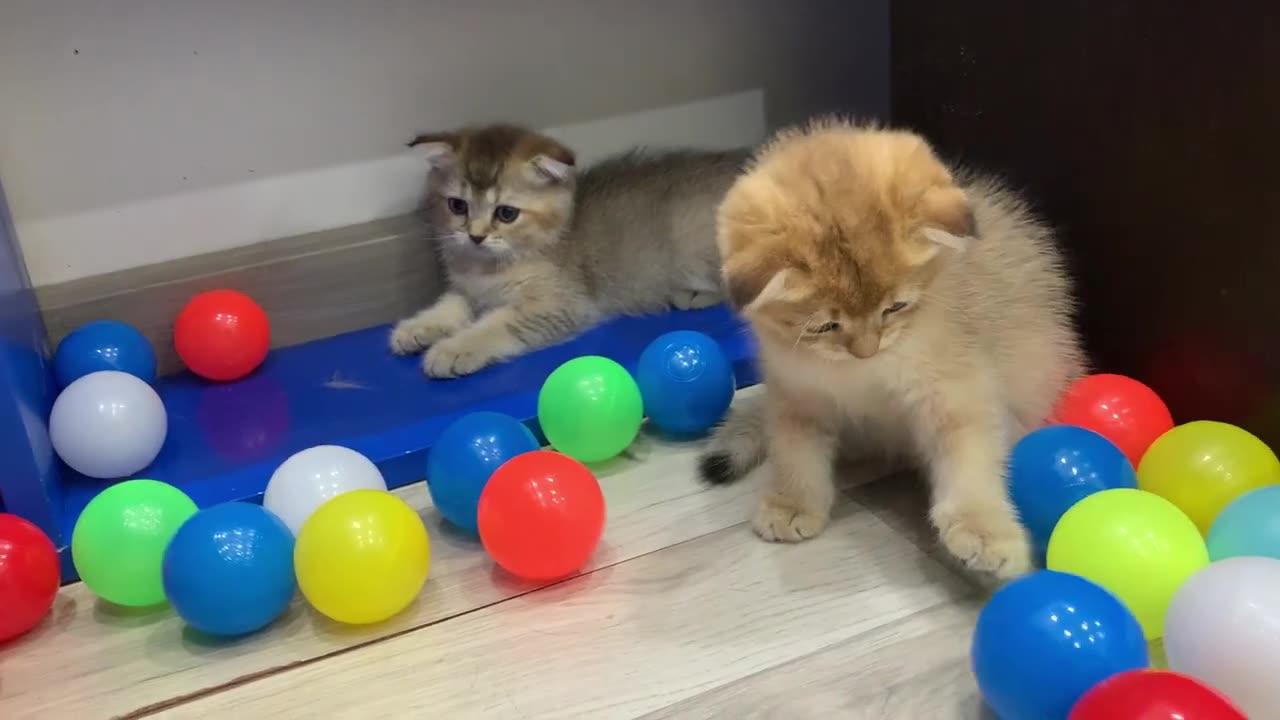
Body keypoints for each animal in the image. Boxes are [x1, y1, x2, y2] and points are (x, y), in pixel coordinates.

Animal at [389, 122, 747, 376]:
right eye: (457, 206)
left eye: (506, 213)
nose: (475, 236)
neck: (491, 267)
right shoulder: (470, 290)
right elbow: (450, 305)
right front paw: (417, 328)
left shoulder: (562, 304)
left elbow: (499, 323)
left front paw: (453, 350)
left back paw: (696, 294)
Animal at [701, 117, 1080, 576]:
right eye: (825, 326)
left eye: (896, 306)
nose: (867, 349)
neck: (859, 373)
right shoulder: (796, 393)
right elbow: (795, 450)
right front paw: (792, 502)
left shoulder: (956, 389)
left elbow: (970, 455)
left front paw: (983, 529)